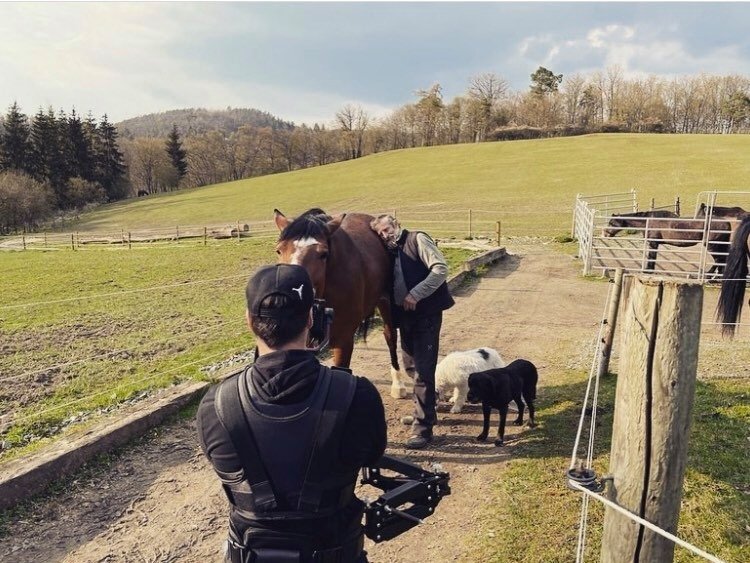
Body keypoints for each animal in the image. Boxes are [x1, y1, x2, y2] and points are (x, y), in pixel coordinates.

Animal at [274, 209, 412, 398]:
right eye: (279, 251)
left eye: (323, 254)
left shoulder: (344, 341)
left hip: (386, 302)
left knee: (390, 336)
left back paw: (398, 384)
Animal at [604, 209, 736, 276]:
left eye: (612, 223)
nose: (605, 234)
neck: (648, 221)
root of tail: (726, 223)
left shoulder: (653, 243)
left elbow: (651, 257)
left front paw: (648, 270)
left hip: (712, 245)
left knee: (719, 260)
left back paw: (711, 277)